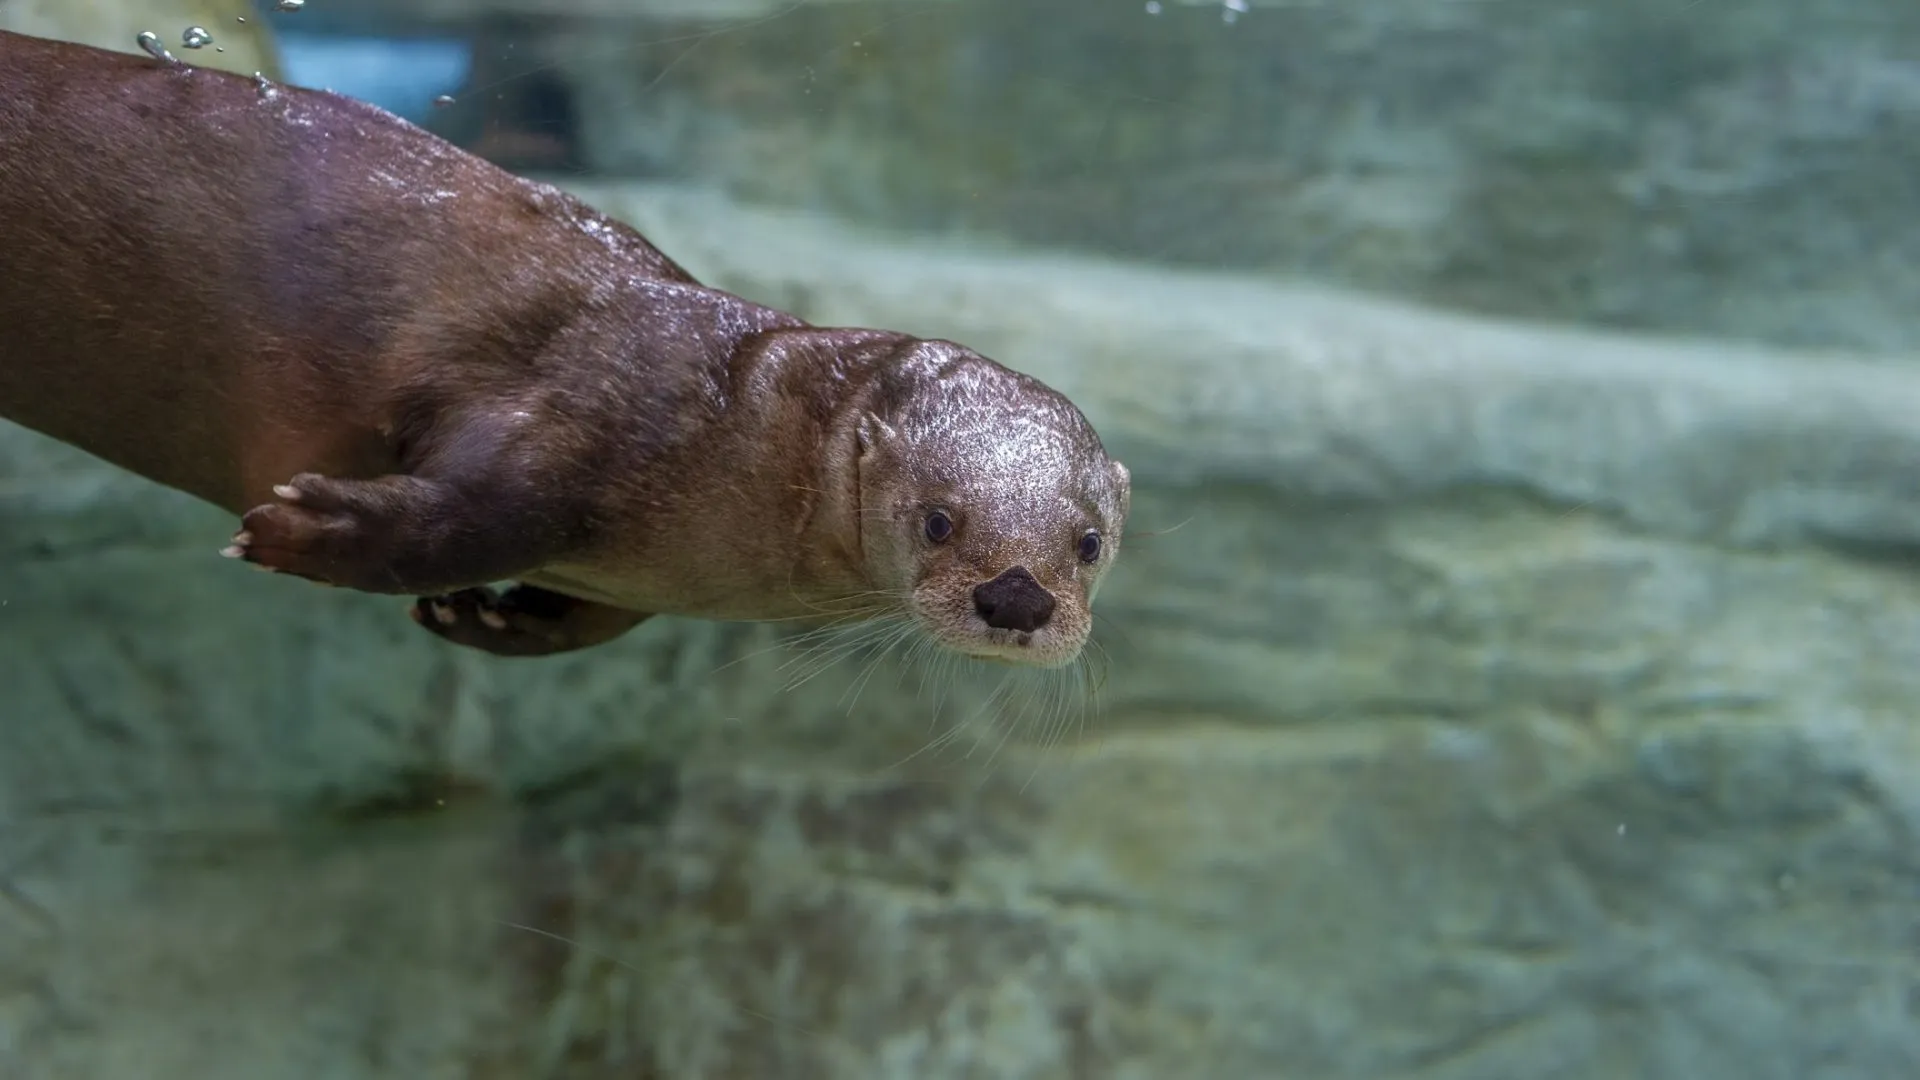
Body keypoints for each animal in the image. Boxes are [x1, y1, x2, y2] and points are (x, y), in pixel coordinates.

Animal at [0, 29, 1129, 666]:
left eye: (1087, 542)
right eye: (938, 520)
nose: (1017, 596)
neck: (735, 425)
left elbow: (593, 614)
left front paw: (501, 625)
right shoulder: (583, 410)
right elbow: (468, 514)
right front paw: (307, 531)